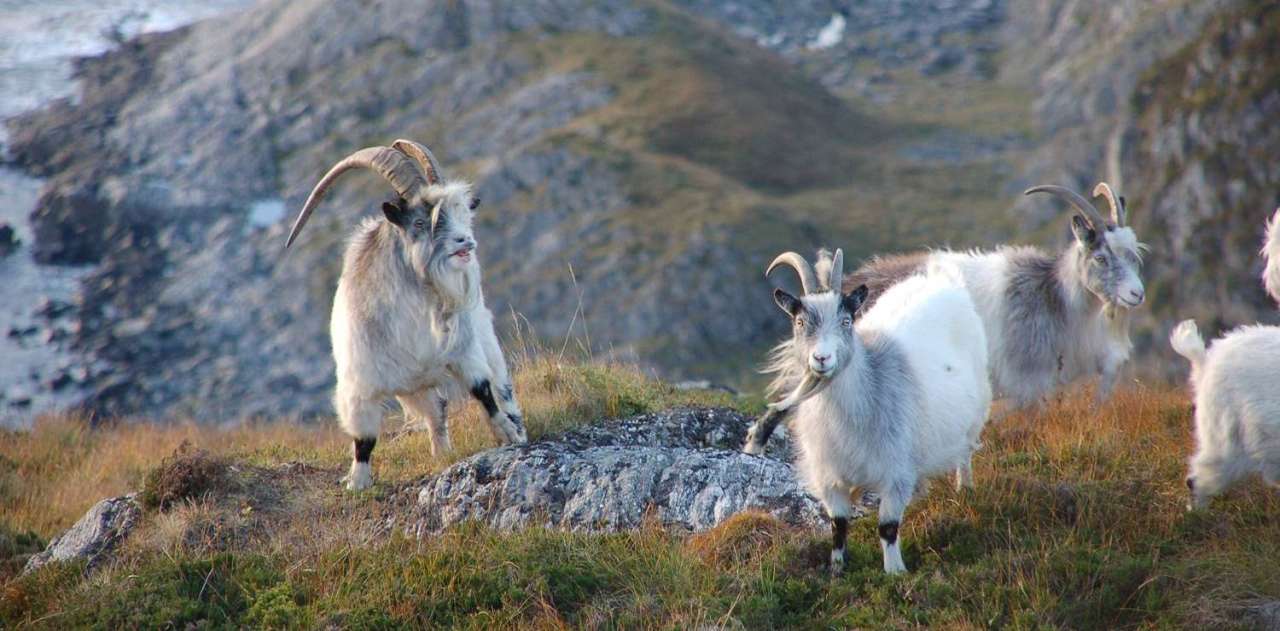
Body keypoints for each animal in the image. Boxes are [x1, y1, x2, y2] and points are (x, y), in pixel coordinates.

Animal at [288, 140, 527, 488]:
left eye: (460, 212)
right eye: (419, 223)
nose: (465, 242)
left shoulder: (464, 349)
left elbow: (483, 390)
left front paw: (507, 433)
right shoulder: (359, 384)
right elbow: (364, 438)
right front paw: (358, 482)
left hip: (482, 340)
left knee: (499, 387)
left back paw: (515, 426)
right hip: (414, 387)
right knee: (437, 410)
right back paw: (441, 453)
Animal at [757, 248, 988, 573]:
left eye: (846, 320)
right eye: (800, 322)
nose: (822, 358)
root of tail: (941, 281)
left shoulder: (895, 473)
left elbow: (887, 527)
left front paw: (895, 572)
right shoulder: (829, 478)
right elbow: (838, 526)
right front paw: (837, 569)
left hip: (974, 417)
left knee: (965, 454)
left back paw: (964, 488)